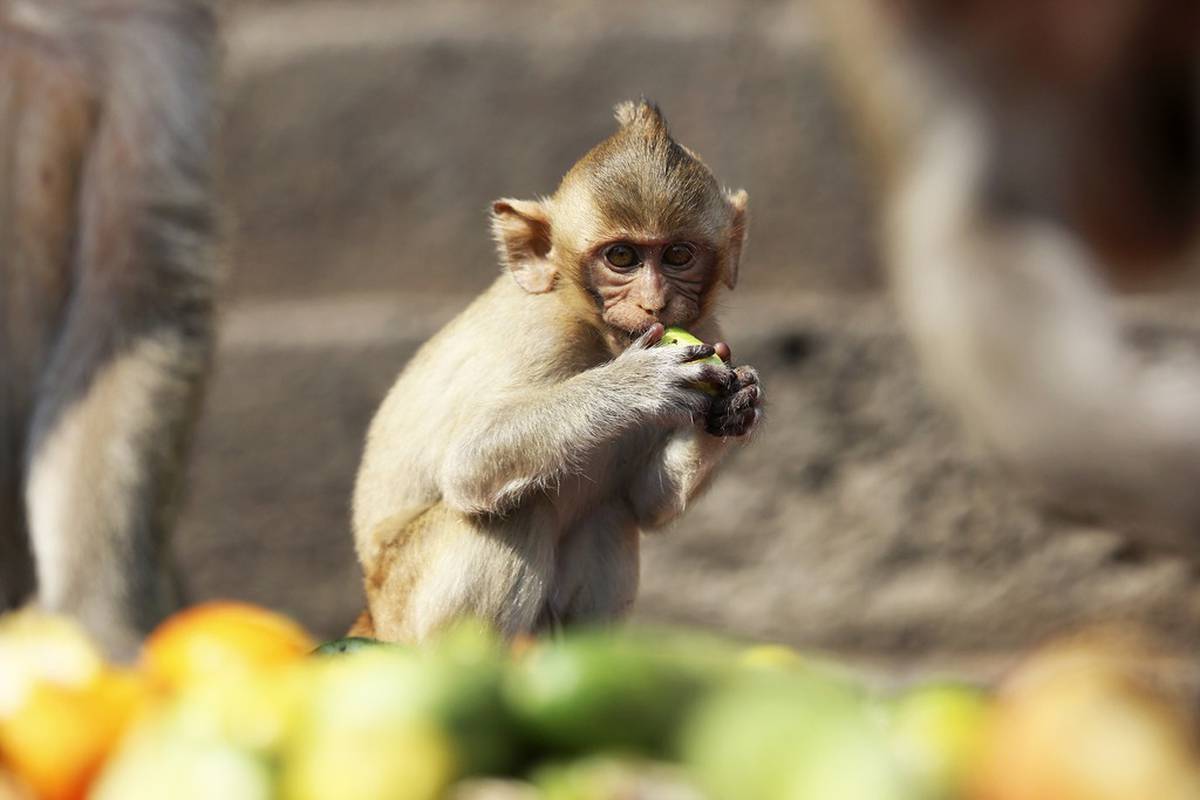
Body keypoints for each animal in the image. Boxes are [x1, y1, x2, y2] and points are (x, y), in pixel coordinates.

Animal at [350, 101, 758, 642]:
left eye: (678, 255)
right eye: (622, 257)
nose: (654, 303)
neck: (599, 337)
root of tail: (372, 612)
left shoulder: (705, 327)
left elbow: (649, 501)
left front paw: (735, 405)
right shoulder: (542, 332)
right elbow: (469, 459)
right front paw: (637, 384)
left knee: (610, 514)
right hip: (403, 604)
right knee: (519, 510)